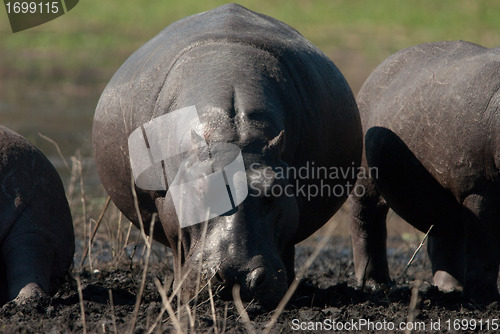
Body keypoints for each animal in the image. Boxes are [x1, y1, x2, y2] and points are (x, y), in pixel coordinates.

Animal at [93, 3, 360, 310]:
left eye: (274, 192)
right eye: (200, 189)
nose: (236, 275)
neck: (234, 134)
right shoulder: (166, 204)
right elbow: (177, 245)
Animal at [350, 40, 500, 304]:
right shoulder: (480, 190)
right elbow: (484, 246)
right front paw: (485, 299)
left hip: (441, 197)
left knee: (444, 237)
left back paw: (449, 289)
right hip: (365, 182)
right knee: (366, 224)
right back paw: (373, 284)